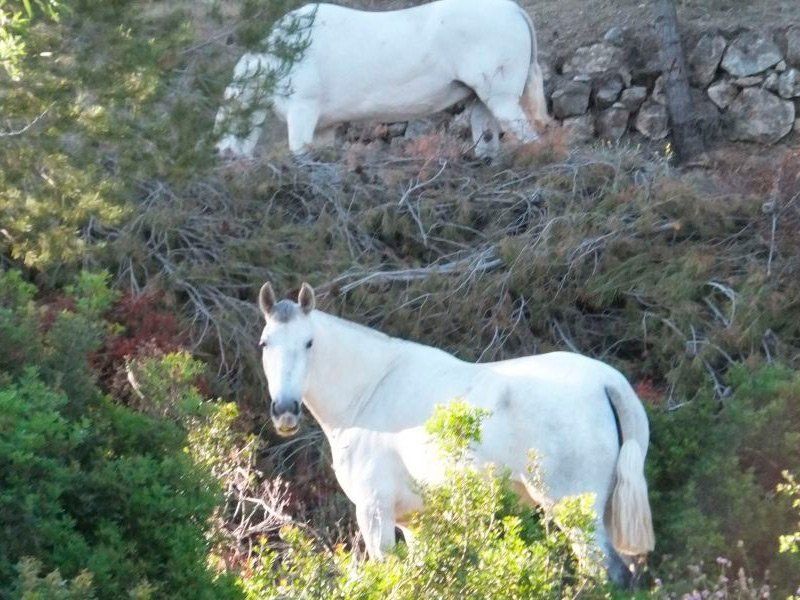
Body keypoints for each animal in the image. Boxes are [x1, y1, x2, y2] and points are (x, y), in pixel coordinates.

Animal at [214, 0, 552, 159]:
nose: (224, 155)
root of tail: (515, 10)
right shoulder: (324, 127)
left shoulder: (302, 111)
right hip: (479, 98)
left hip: (501, 97)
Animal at [258, 284, 656, 584]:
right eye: (265, 343)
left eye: (309, 342)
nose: (285, 410)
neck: (371, 391)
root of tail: (607, 382)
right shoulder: (414, 524)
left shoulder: (374, 512)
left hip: (576, 514)